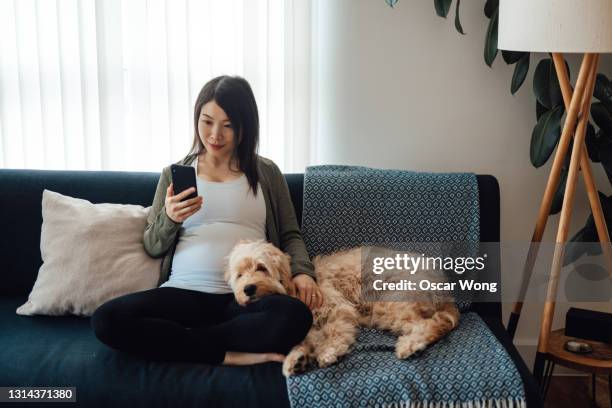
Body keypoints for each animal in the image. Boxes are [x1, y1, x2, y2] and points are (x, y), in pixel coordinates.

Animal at [225, 239, 460, 376]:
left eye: (261, 267)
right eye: (239, 275)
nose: (248, 289)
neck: (293, 289)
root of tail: (443, 288)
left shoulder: (336, 310)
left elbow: (335, 332)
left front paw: (329, 351)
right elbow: (305, 340)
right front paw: (297, 358)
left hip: (390, 303)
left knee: (430, 325)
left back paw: (410, 344)